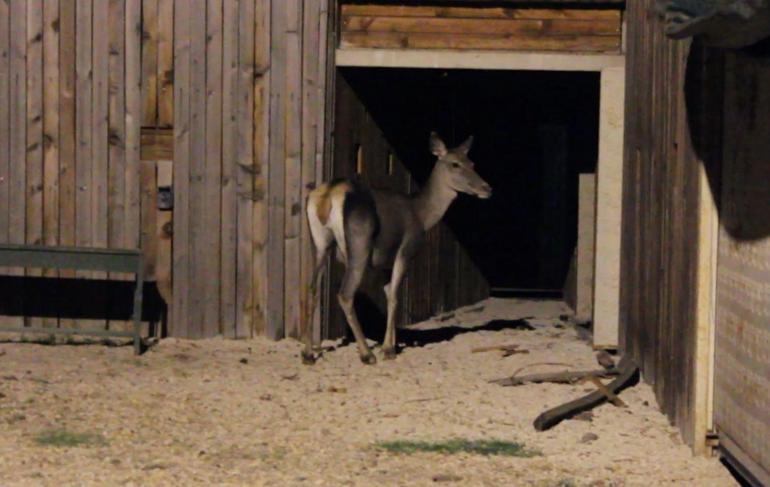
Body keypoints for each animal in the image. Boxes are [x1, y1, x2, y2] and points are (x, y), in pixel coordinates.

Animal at [300, 132, 492, 364]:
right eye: (455, 164)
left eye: (472, 163)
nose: (487, 188)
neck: (423, 216)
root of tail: (329, 193)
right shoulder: (406, 249)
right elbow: (394, 296)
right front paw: (388, 349)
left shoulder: (385, 262)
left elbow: (388, 292)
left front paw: (391, 343)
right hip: (359, 242)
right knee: (345, 294)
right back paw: (367, 354)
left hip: (319, 242)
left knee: (311, 288)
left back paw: (308, 354)